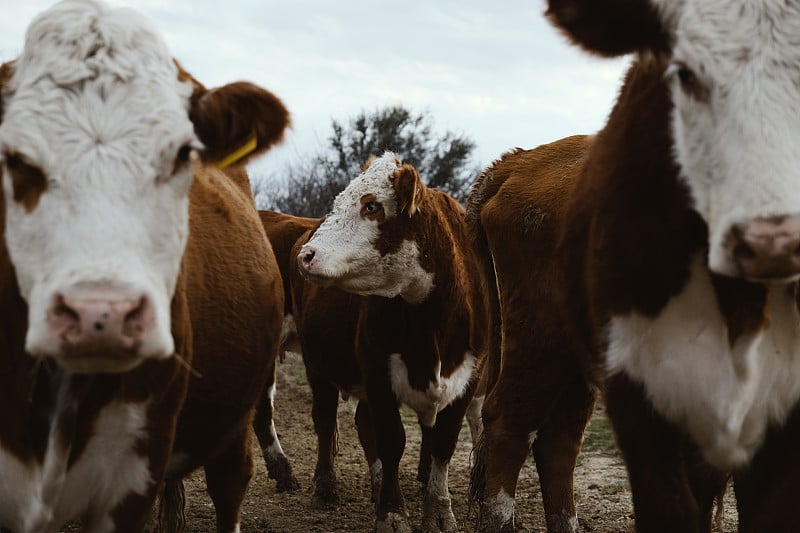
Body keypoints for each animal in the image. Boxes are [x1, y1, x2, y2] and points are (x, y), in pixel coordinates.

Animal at [290, 151, 488, 532]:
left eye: (371, 206)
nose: (306, 256)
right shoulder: (377, 371)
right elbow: (393, 440)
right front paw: (392, 513)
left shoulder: (469, 378)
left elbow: (442, 444)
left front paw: (439, 511)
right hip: (315, 363)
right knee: (325, 418)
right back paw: (326, 487)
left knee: (363, 423)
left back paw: (378, 484)